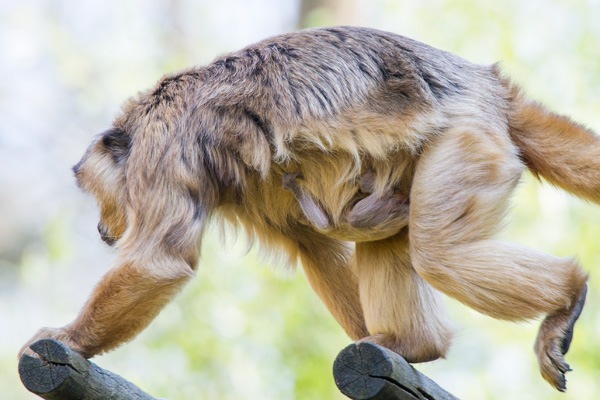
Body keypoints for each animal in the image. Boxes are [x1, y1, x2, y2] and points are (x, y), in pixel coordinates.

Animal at [19, 26, 596, 392]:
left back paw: (568, 294)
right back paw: (412, 343)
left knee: (439, 252)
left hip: (470, 139)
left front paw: (67, 339)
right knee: (383, 233)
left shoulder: (161, 151)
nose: (101, 226)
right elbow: (312, 243)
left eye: (99, 198)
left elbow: (158, 262)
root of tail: (486, 86)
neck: (145, 122)